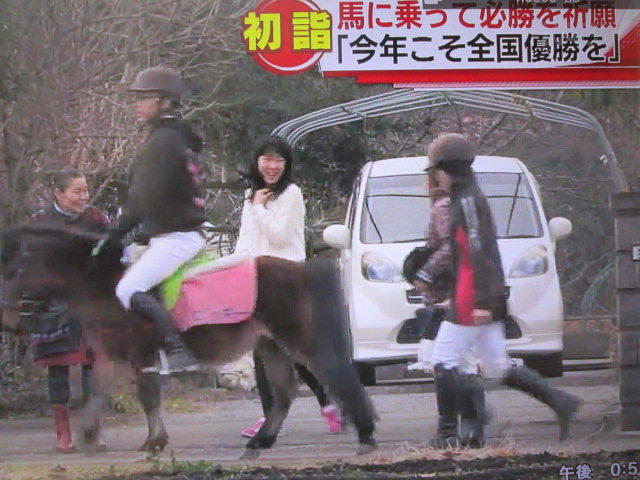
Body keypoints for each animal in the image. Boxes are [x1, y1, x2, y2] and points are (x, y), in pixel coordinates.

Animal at [0, 226, 377, 458]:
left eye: (14, 270)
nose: (8, 319)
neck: (105, 283)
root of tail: (300, 269)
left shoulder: (141, 354)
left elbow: (147, 397)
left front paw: (154, 442)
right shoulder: (111, 356)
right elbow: (97, 393)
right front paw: (89, 438)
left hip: (299, 340)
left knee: (335, 376)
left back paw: (366, 435)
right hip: (270, 345)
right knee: (285, 394)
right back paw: (260, 442)